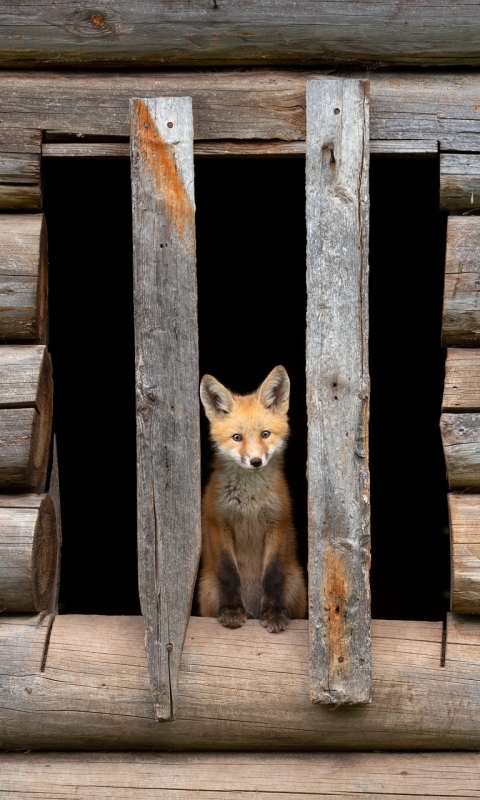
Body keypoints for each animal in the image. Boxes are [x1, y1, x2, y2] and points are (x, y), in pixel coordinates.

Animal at [197, 366, 306, 636]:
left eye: (265, 434)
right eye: (237, 437)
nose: (256, 461)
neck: (250, 500)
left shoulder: (278, 522)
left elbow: (273, 576)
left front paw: (274, 613)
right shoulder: (217, 523)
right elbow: (229, 574)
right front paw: (232, 611)